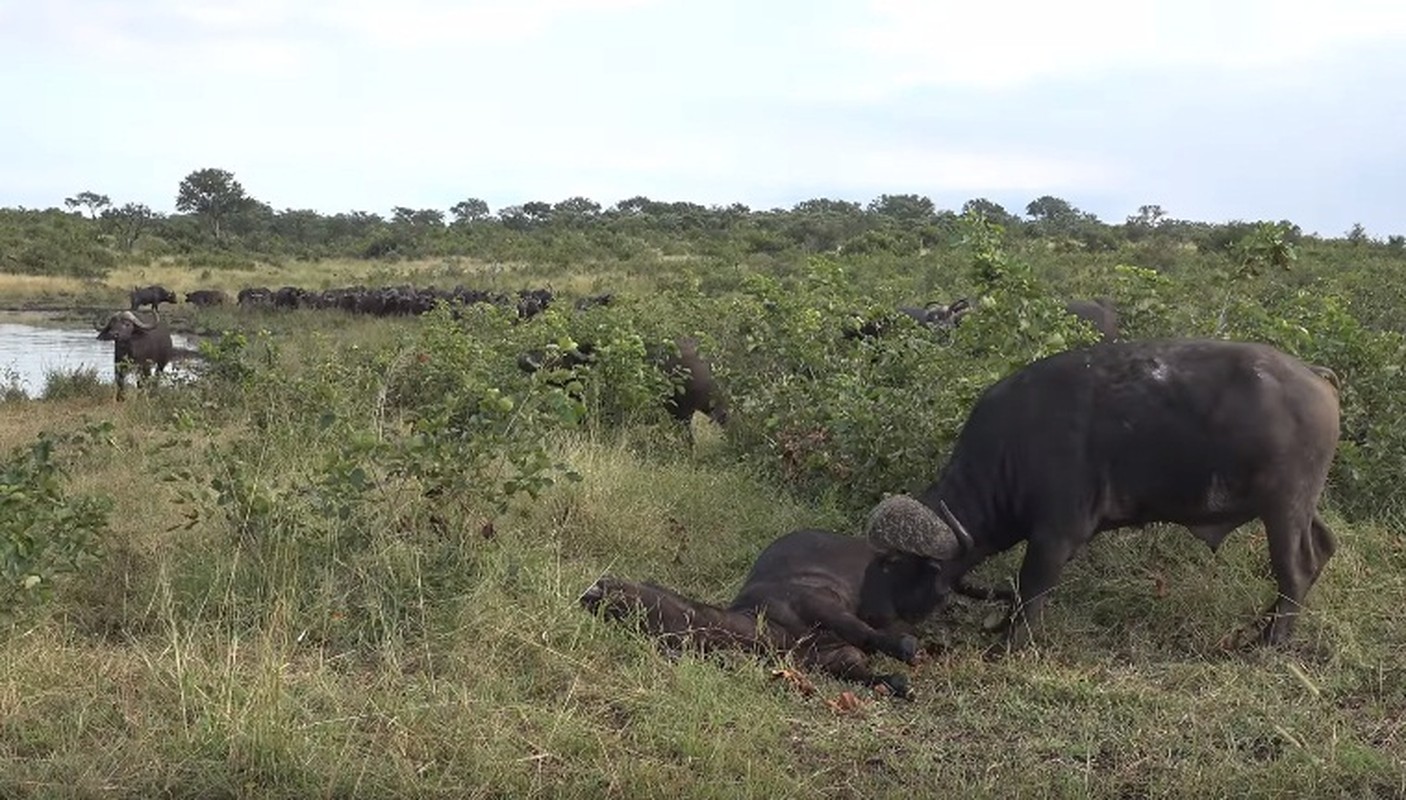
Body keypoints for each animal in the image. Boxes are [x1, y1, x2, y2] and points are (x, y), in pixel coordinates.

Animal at [582, 520, 978, 694]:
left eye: (624, 584)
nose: (590, 591)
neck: (771, 630)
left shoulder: (818, 602)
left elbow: (863, 631)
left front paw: (904, 648)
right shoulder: (837, 658)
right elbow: (869, 671)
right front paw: (896, 680)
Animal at [871, 337, 1344, 649]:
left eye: (903, 562)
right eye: (882, 560)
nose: (889, 613)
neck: (1013, 447)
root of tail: (1314, 375)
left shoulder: (1055, 537)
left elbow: (1030, 590)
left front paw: (1010, 642)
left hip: (1285, 506)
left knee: (1295, 567)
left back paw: (1271, 641)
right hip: (1301, 505)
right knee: (1323, 547)